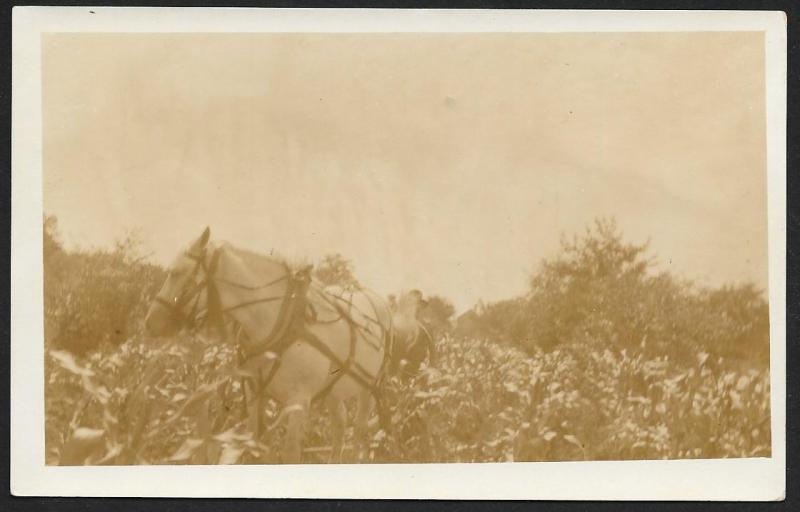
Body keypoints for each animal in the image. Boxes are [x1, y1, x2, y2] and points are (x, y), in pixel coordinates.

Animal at [145, 228, 396, 464]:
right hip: (334, 389)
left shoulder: (299, 402)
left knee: (358, 433)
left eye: (176, 272)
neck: (279, 321)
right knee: (339, 426)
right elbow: (258, 448)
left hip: (369, 389)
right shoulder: (255, 394)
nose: (149, 323)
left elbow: (290, 454)